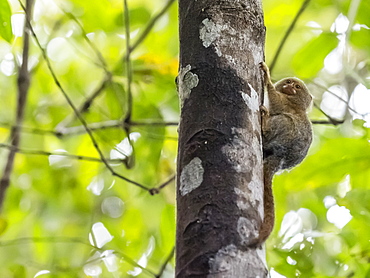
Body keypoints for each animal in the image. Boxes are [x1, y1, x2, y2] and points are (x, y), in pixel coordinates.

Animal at [258, 62, 312, 244]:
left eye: (297, 87)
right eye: (288, 82)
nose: (290, 87)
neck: (296, 102)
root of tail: (282, 158)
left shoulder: (286, 103)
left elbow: (276, 100)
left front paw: (267, 76)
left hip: (286, 133)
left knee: (284, 119)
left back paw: (265, 125)